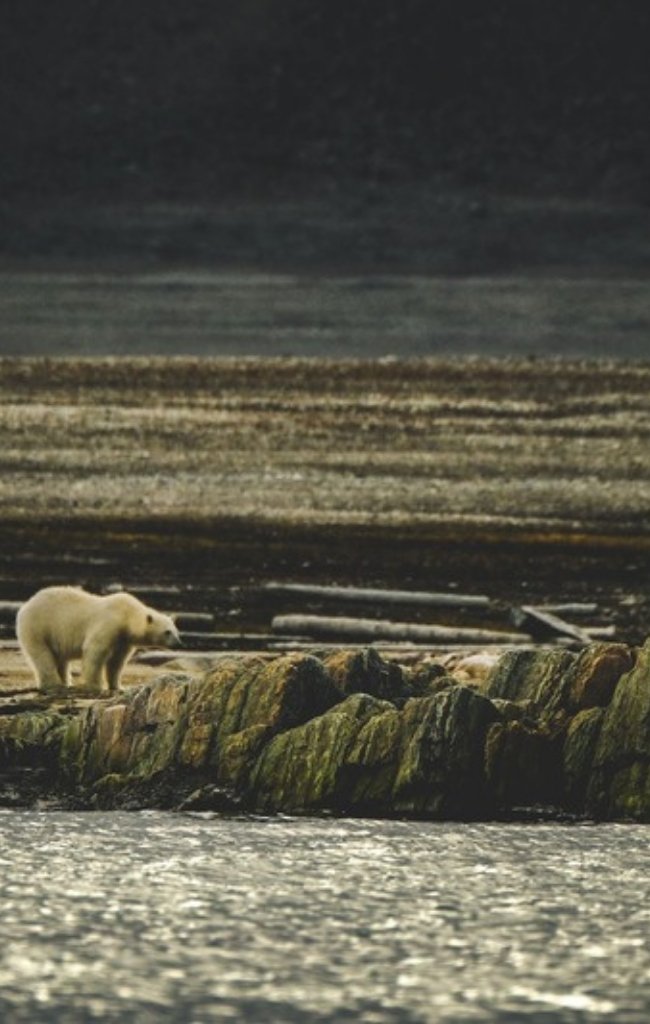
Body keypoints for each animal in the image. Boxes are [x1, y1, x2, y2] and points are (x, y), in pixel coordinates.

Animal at [16, 586, 181, 693]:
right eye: (167, 632)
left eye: (176, 632)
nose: (179, 643)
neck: (127, 615)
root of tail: (26, 605)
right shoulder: (109, 624)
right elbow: (95, 651)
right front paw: (96, 686)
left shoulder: (123, 639)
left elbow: (116, 661)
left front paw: (118, 686)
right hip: (38, 627)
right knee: (42, 655)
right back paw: (54, 684)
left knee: (60, 658)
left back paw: (65, 682)